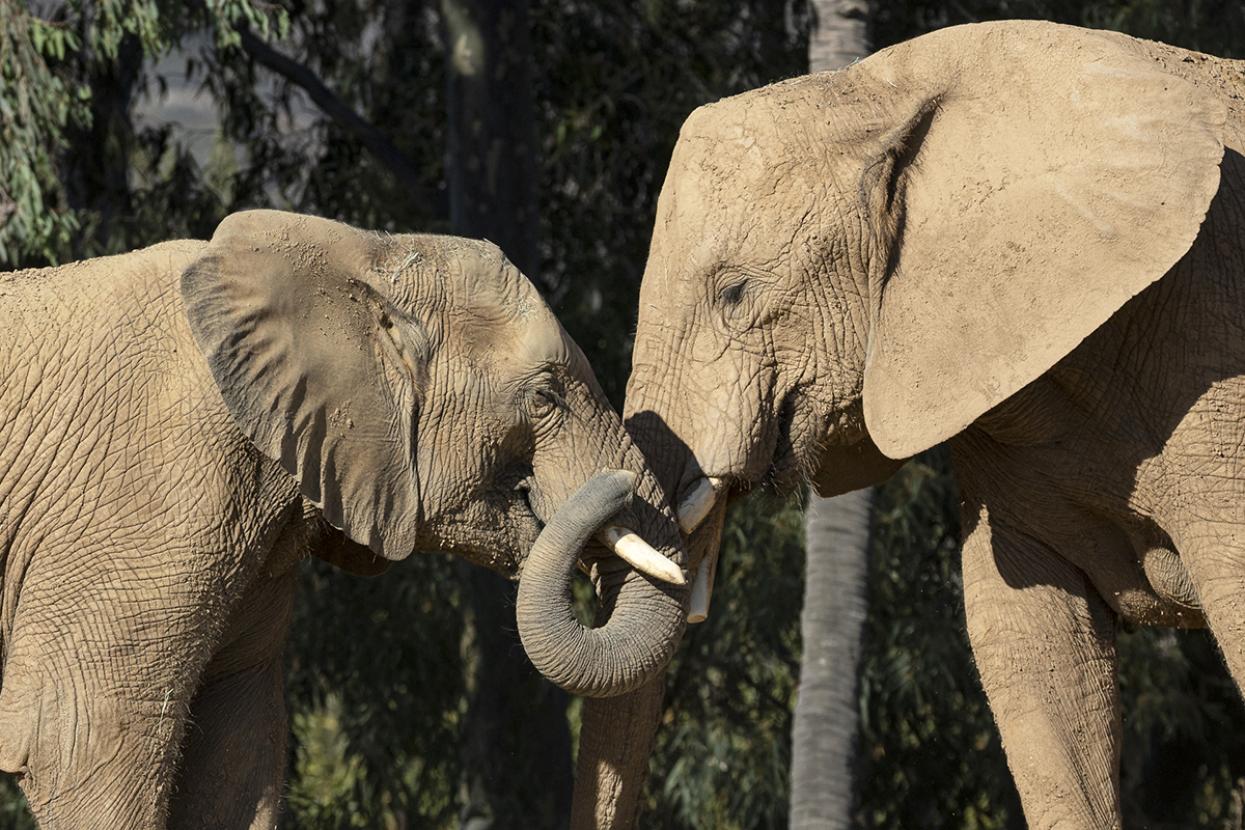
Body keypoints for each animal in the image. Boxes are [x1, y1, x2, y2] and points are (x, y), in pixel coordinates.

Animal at [0, 209, 688, 829]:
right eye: (546, 396)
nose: (617, 485)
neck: (360, 256)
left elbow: (239, 748)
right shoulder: (150, 483)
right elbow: (77, 736)